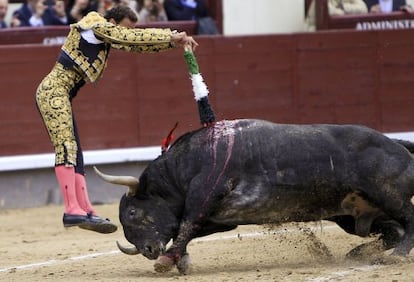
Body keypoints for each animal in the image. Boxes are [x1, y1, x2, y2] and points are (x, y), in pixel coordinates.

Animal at [94, 119, 414, 274]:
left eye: (132, 213)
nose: (148, 250)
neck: (181, 171)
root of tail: (396, 144)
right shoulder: (220, 219)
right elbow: (187, 231)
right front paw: (179, 260)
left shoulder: (205, 196)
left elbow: (186, 226)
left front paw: (167, 262)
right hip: (353, 215)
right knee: (392, 231)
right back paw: (359, 254)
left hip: (389, 195)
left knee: (408, 223)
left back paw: (395, 257)